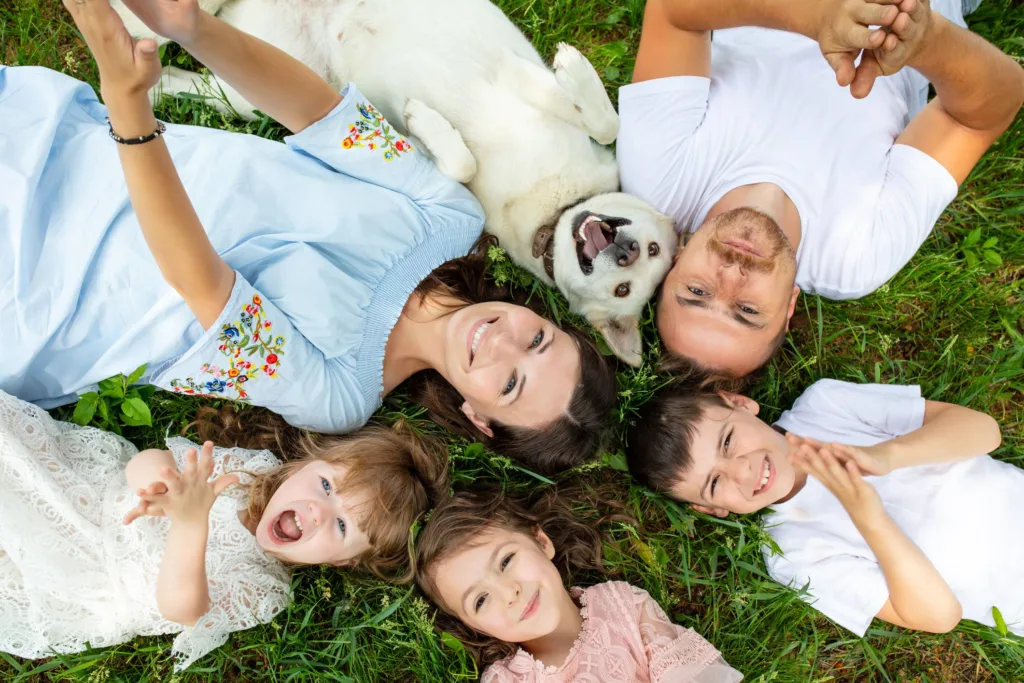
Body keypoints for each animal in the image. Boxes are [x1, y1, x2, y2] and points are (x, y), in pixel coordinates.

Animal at [116, 0, 675, 366]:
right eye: (649, 249)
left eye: (625, 287)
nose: (625, 249)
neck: (552, 207)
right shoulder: (533, 88)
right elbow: (603, 120)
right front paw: (573, 70)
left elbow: (457, 163)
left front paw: (425, 119)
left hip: (254, 89)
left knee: (192, 72)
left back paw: (148, 75)